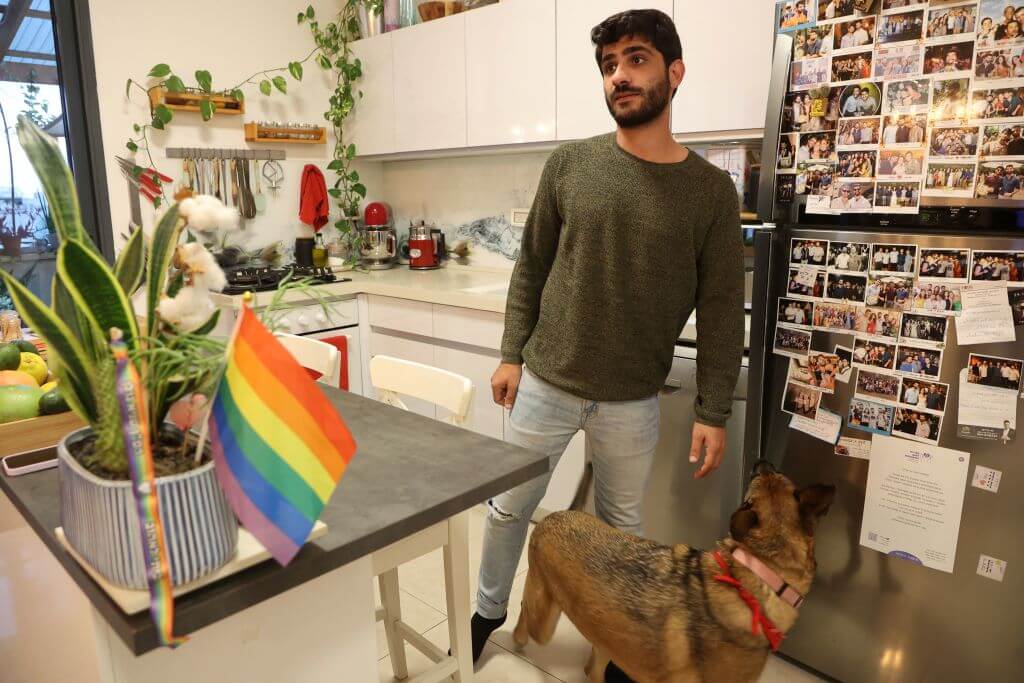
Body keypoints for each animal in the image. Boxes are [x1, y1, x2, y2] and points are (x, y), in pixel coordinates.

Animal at [512, 462, 831, 679]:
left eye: (780, 477)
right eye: (757, 481)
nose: (760, 462)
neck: (758, 574)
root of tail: (559, 513)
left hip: (605, 636)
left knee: (593, 667)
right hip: (544, 621)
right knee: (525, 616)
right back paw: (516, 636)